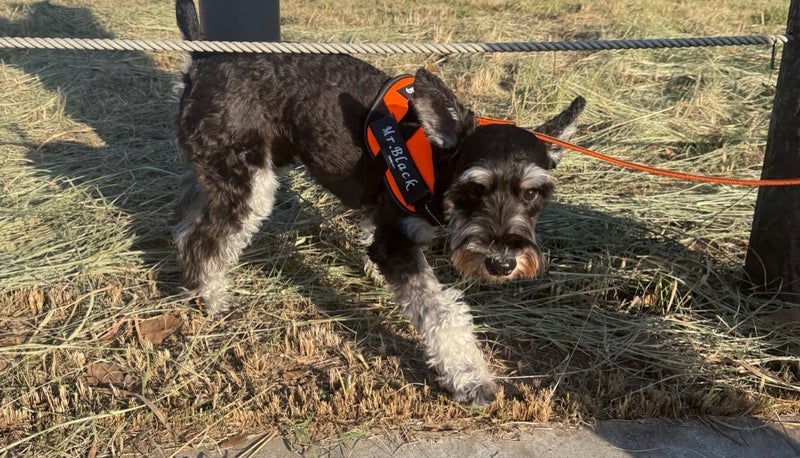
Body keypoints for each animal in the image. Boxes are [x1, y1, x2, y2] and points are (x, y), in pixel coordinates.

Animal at [173, 0, 585, 406]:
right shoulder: (395, 242)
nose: (502, 264)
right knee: (204, 241)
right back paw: (209, 296)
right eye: (474, 188)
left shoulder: (384, 220)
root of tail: (204, 57)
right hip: (250, 185)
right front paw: (470, 376)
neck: (436, 160)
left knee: (188, 219)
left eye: (531, 193)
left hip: (224, 173)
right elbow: (442, 312)